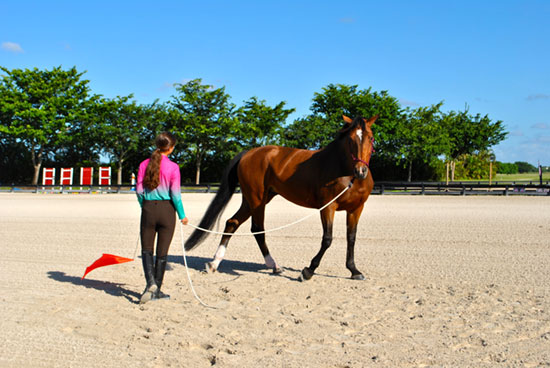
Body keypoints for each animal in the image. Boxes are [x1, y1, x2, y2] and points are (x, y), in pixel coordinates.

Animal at [185, 113, 380, 280]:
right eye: (350, 139)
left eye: (370, 138)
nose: (361, 171)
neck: (344, 170)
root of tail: (248, 153)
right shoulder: (327, 207)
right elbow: (327, 239)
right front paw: (308, 271)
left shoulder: (356, 209)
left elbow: (351, 238)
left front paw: (354, 270)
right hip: (257, 200)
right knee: (257, 228)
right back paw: (273, 264)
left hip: (253, 200)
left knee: (232, 223)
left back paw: (215, 263)